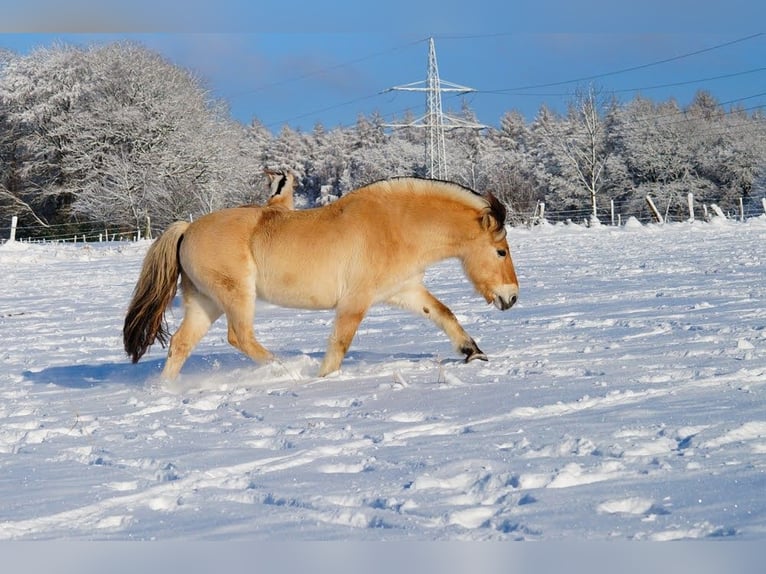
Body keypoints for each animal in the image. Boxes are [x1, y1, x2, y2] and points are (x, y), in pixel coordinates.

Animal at [123, 177, 519, 381]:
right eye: (501, 251)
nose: (512, 297)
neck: (396, 226)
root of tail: (187, 229)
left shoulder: (405, 290)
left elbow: (443, 313)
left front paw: (473, 353)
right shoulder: (355, 301)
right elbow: (340, 344)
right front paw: (323, 378)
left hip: (205, 303)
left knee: (180, 345)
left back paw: (165, 392)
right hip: (235, 296)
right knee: (240, 337)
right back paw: (287, 370)